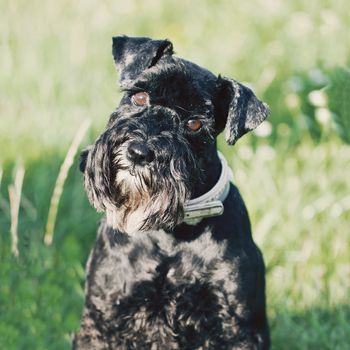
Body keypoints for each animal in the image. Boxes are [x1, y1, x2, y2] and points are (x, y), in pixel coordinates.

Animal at [74, 36, 270, 350]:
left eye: (195, 123)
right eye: (139, 97)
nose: (139, 152)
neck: (171, 233)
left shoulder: (238, 328)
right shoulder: (104, 316)